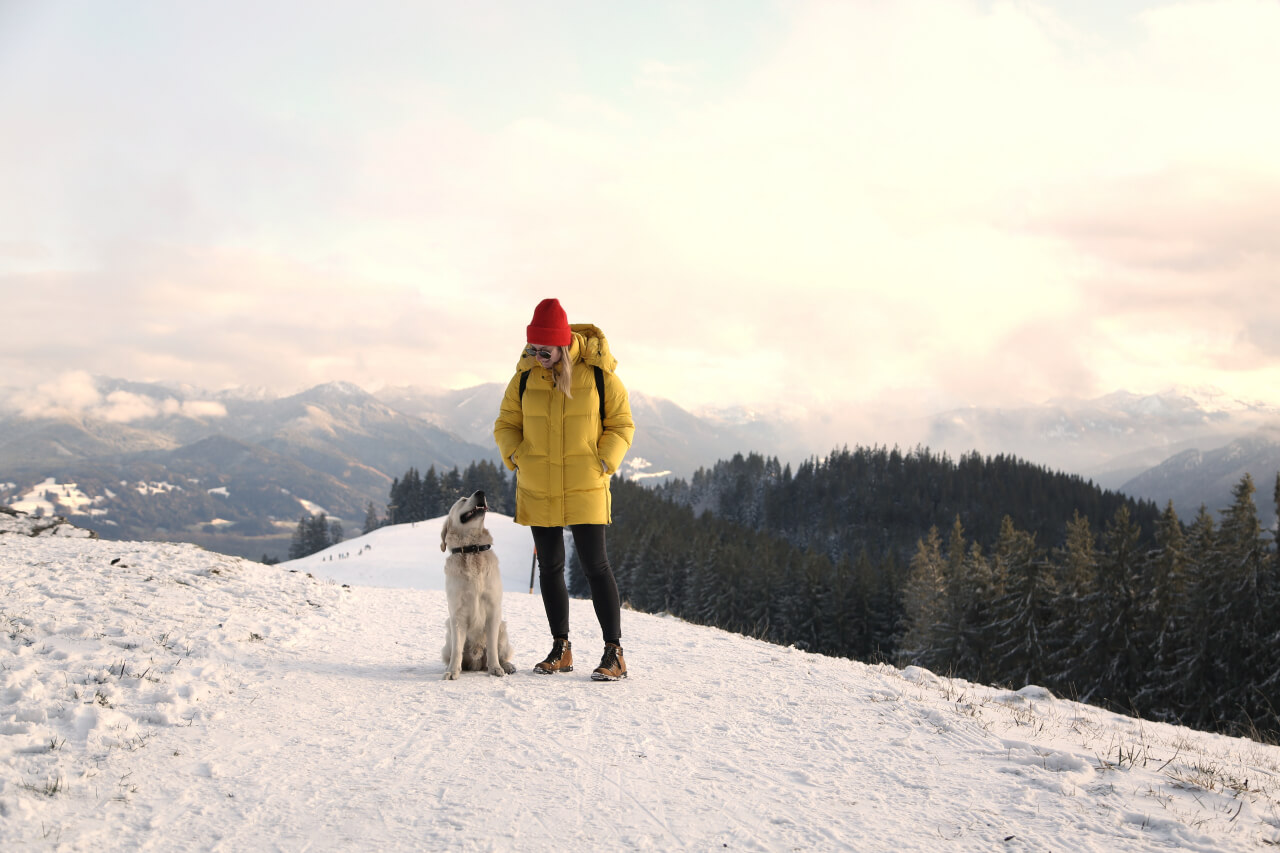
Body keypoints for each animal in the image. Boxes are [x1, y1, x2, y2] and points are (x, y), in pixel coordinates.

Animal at [440, 491, 514, 676]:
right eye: (462, 500)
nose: (481, 492)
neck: (471, 550)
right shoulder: (457, 613)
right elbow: (457, 649)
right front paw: (452, 671)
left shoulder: (493, 609)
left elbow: (492, 647)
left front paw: (495, 668)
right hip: (448, 633)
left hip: (503, 628)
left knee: (501, 653)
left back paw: (507, 666)